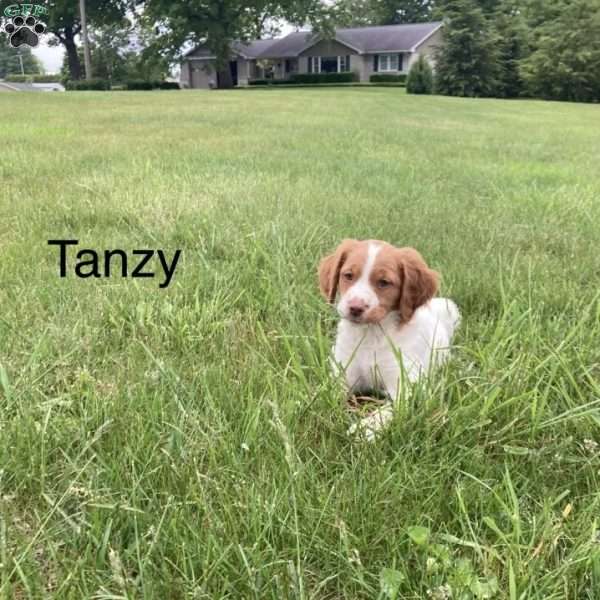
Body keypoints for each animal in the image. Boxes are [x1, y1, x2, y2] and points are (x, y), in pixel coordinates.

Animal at [318, 239, 460, 440]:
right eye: (348, 275)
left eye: (384, 282)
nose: (355, 307)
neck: (370, 334)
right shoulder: (343, 373)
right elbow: (325, 395)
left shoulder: (408, 384)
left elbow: (389, 409)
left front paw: (367, 427)